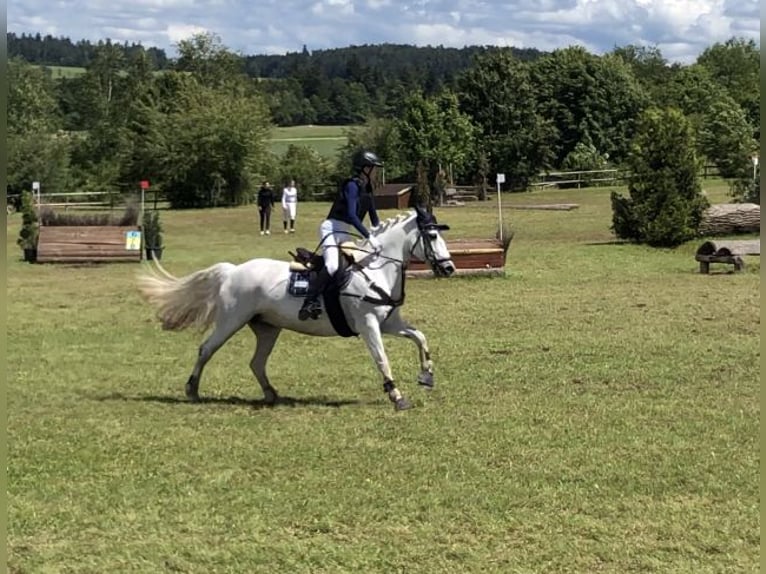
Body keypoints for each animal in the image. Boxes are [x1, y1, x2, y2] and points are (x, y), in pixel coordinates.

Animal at [137, 209, 456, 412]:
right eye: (432, 237)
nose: (449, 268)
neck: (376, 269)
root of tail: (232, 270)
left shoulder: (389, 323)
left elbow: (420, 337)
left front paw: (426, 376)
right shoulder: (368, 325)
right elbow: (382, 360)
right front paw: (397, 396)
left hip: (267, 327)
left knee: (256, 362)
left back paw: (271, 394)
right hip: (231, 320)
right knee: (206, 349)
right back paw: (192, 390)